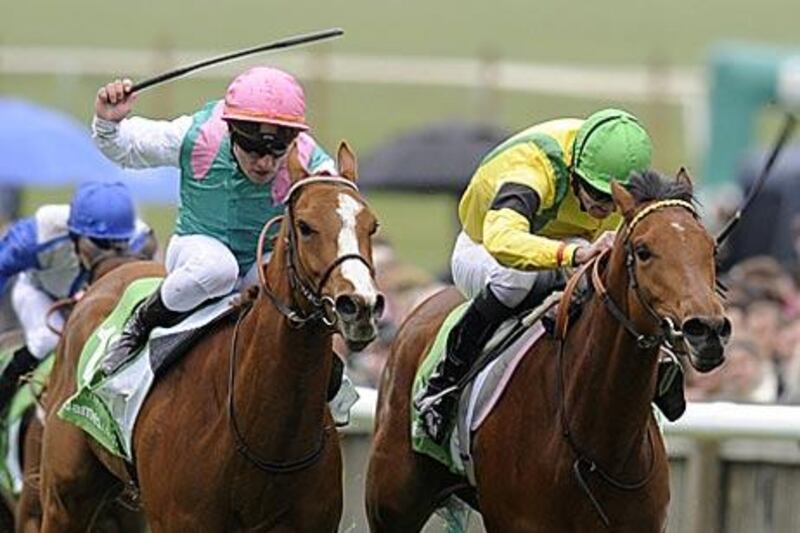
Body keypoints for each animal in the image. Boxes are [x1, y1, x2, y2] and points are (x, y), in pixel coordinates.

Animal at [368, 169, 732, 532]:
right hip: (391, 504)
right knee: (512, 284)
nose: (708, 330)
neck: (598, 445)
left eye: (713, 249)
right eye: (643, 250)